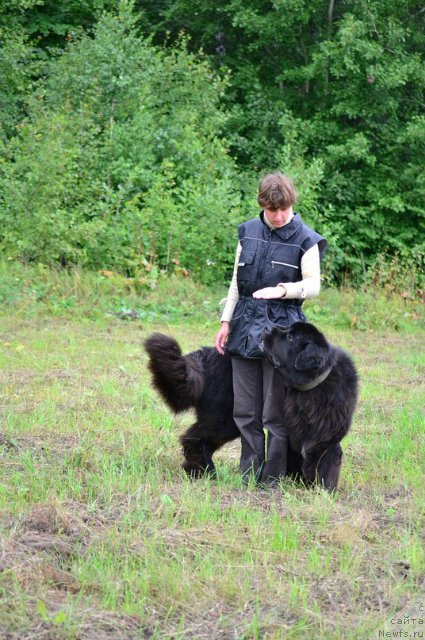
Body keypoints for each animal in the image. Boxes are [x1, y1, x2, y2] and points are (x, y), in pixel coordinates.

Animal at [144, 322, 356, 492]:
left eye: (291, 337)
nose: (267, 328)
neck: (311, 385)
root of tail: (207, 355)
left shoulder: (325, 437)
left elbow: (324, 464)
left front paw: (321, 489)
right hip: (226, 418)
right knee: (195, 438)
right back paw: (207, 472)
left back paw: (198, 471)